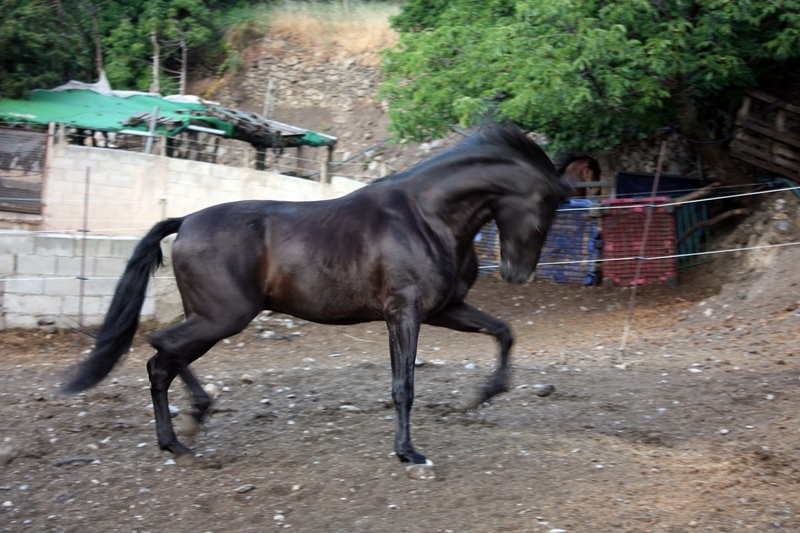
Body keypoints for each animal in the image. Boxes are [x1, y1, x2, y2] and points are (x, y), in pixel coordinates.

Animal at [61, 122, 573, 466]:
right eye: (548, 206)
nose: (517, 273)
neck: (427, 217)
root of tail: (184, 221)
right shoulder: (403, 313)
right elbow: (403, 385)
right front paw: (408, 452)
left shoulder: (444, 309)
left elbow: (503, 332)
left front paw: (483, 395)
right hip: (222, 318)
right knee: (160, 348)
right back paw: (190, 424)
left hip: (208, 319)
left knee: (162, 362)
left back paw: (180, 437)